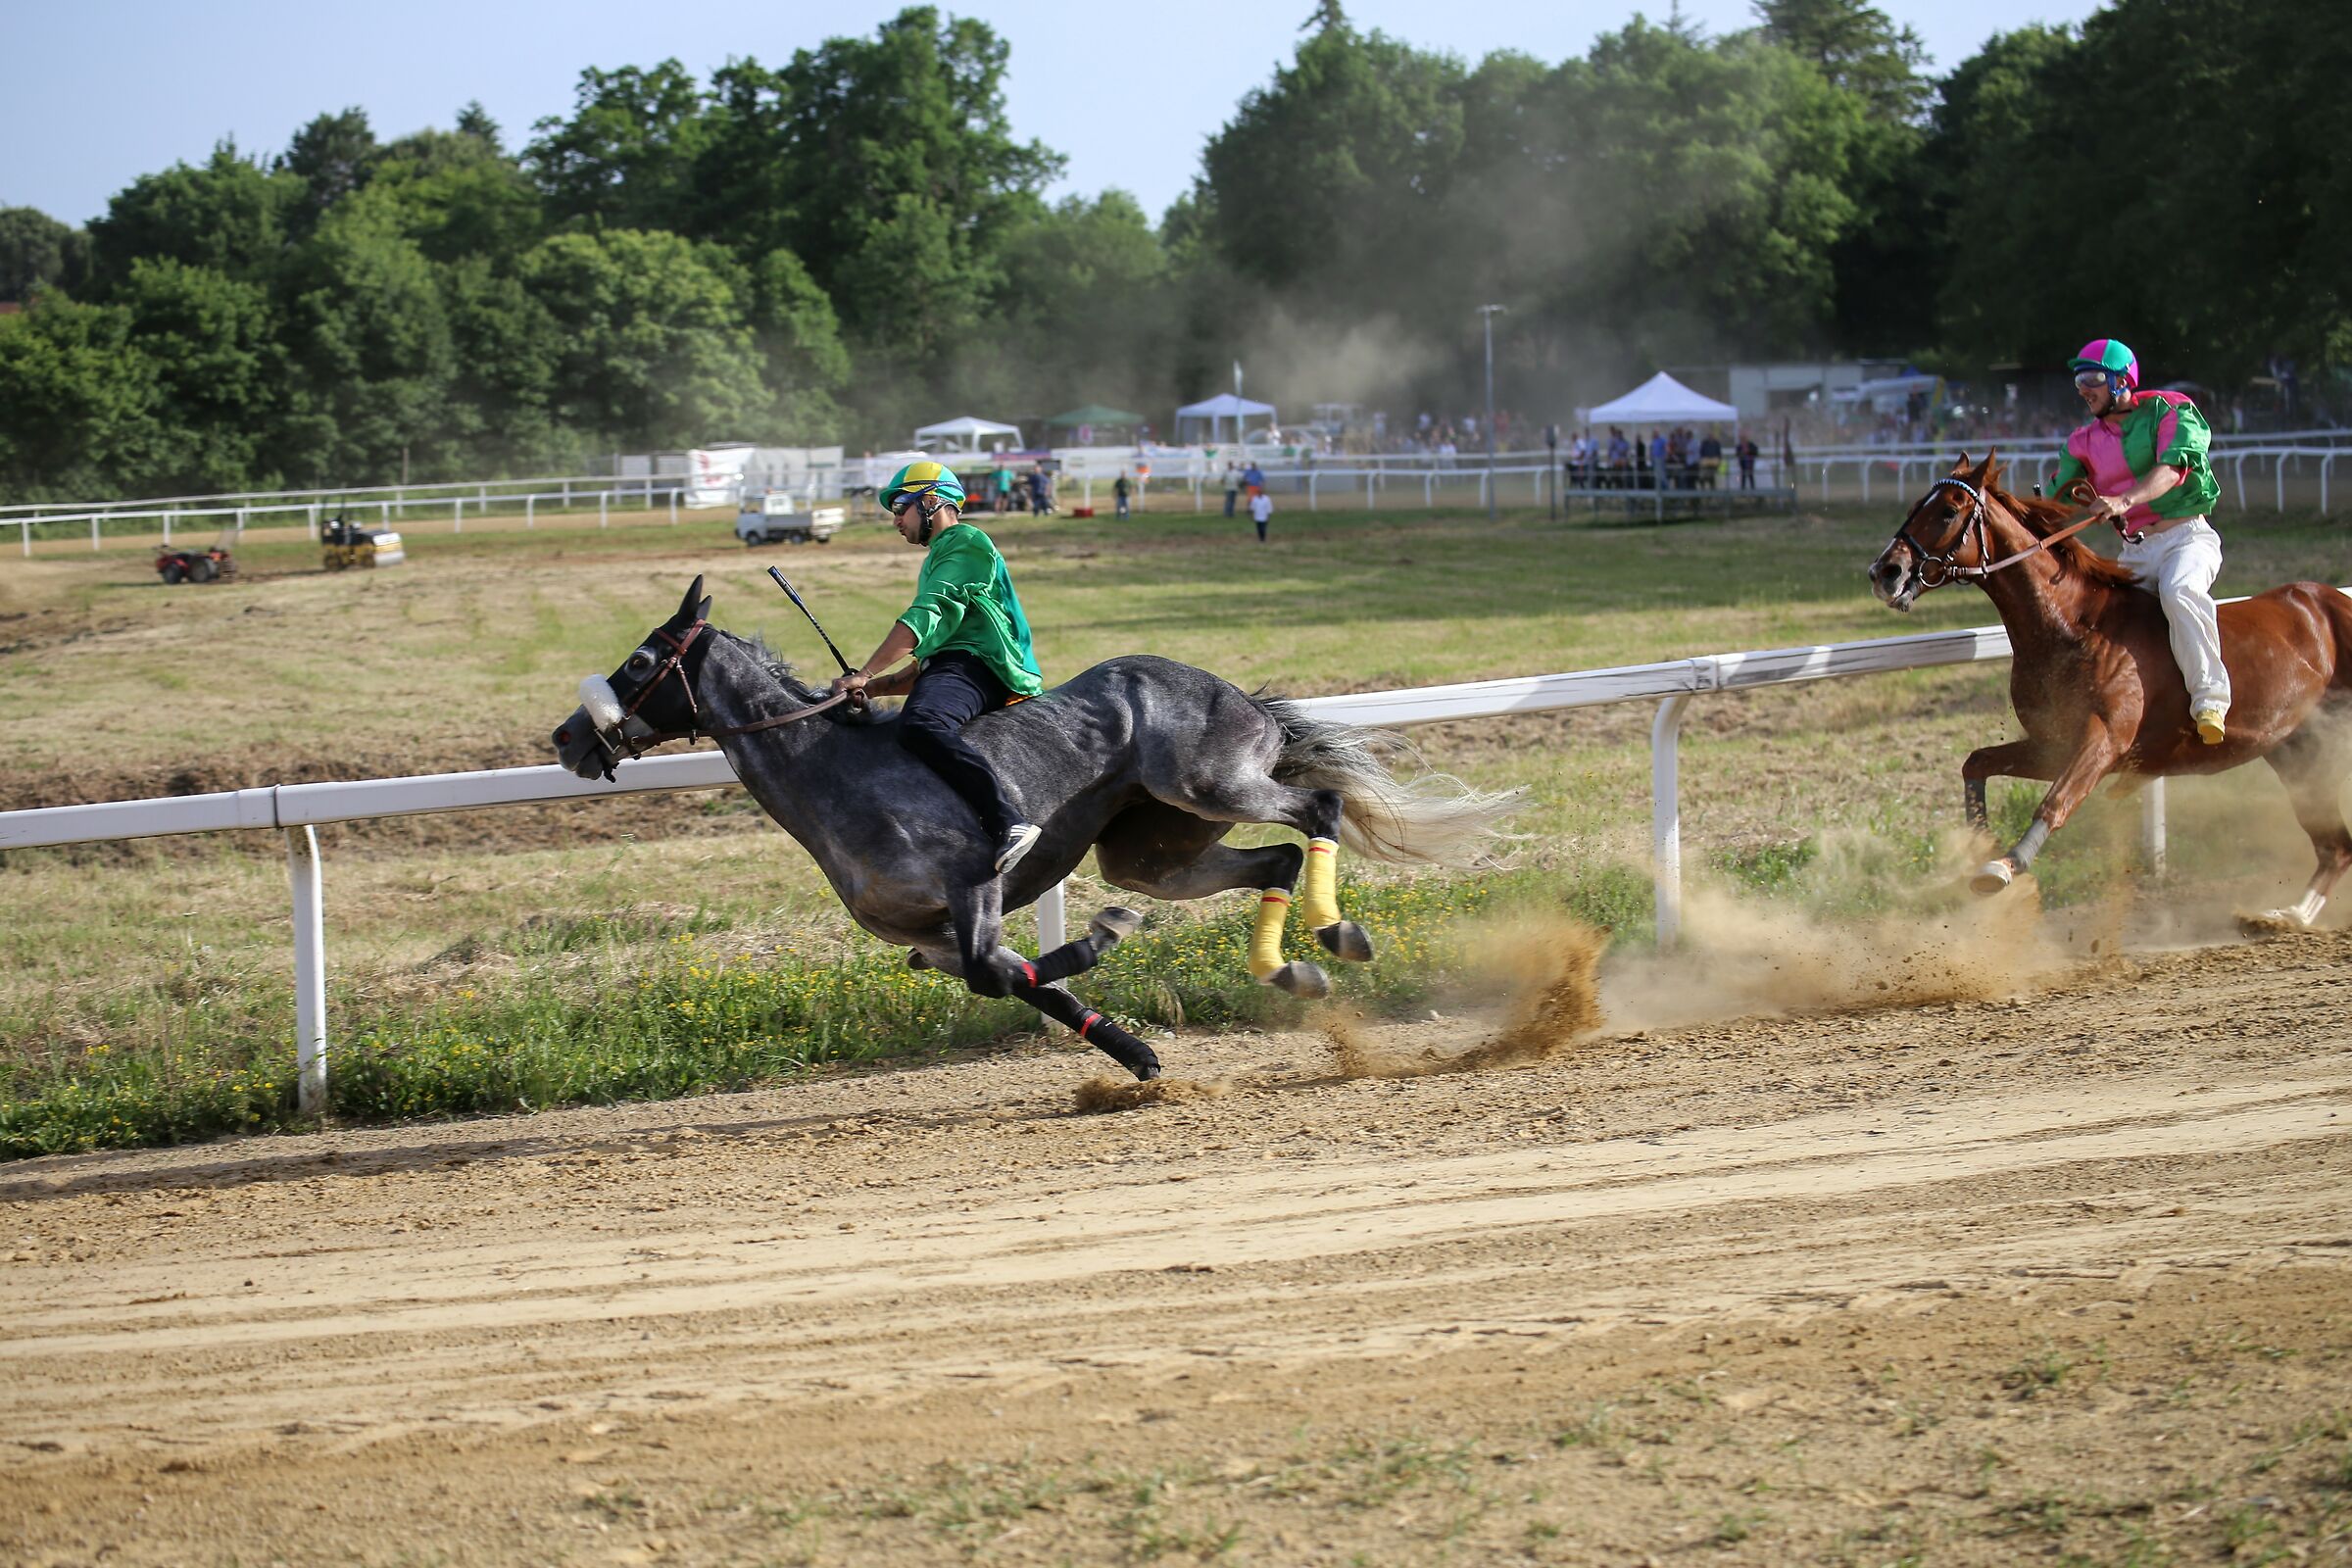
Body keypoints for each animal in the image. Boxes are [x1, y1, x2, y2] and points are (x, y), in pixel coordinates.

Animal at [550, 577, 1520, 1079]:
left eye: (641, 658)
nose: (566, 739)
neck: (837, 775)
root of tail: (1239, 696)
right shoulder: (925, 933)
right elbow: (1010, 979)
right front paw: (1132, 1050)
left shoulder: (971, 887)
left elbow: (1001, 972)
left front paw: (1104, 949)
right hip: (1152, 851)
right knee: (1274, 858)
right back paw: (1290, 969)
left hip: (1212, 783)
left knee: (1314, 813)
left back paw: (1334, 931)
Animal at [1868, 453, 2352, 926]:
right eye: (1915, 506)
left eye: (1948, 511)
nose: (1884, 571)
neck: (2076, 627)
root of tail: (2330, 599)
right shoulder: (2053, 744)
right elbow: (1977, 763)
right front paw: (1981, 849)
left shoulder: (2105, 739)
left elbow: (2056, 802)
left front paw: (2001, 868)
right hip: (2294, 750)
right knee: (2335, 846)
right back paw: (2288, 915)